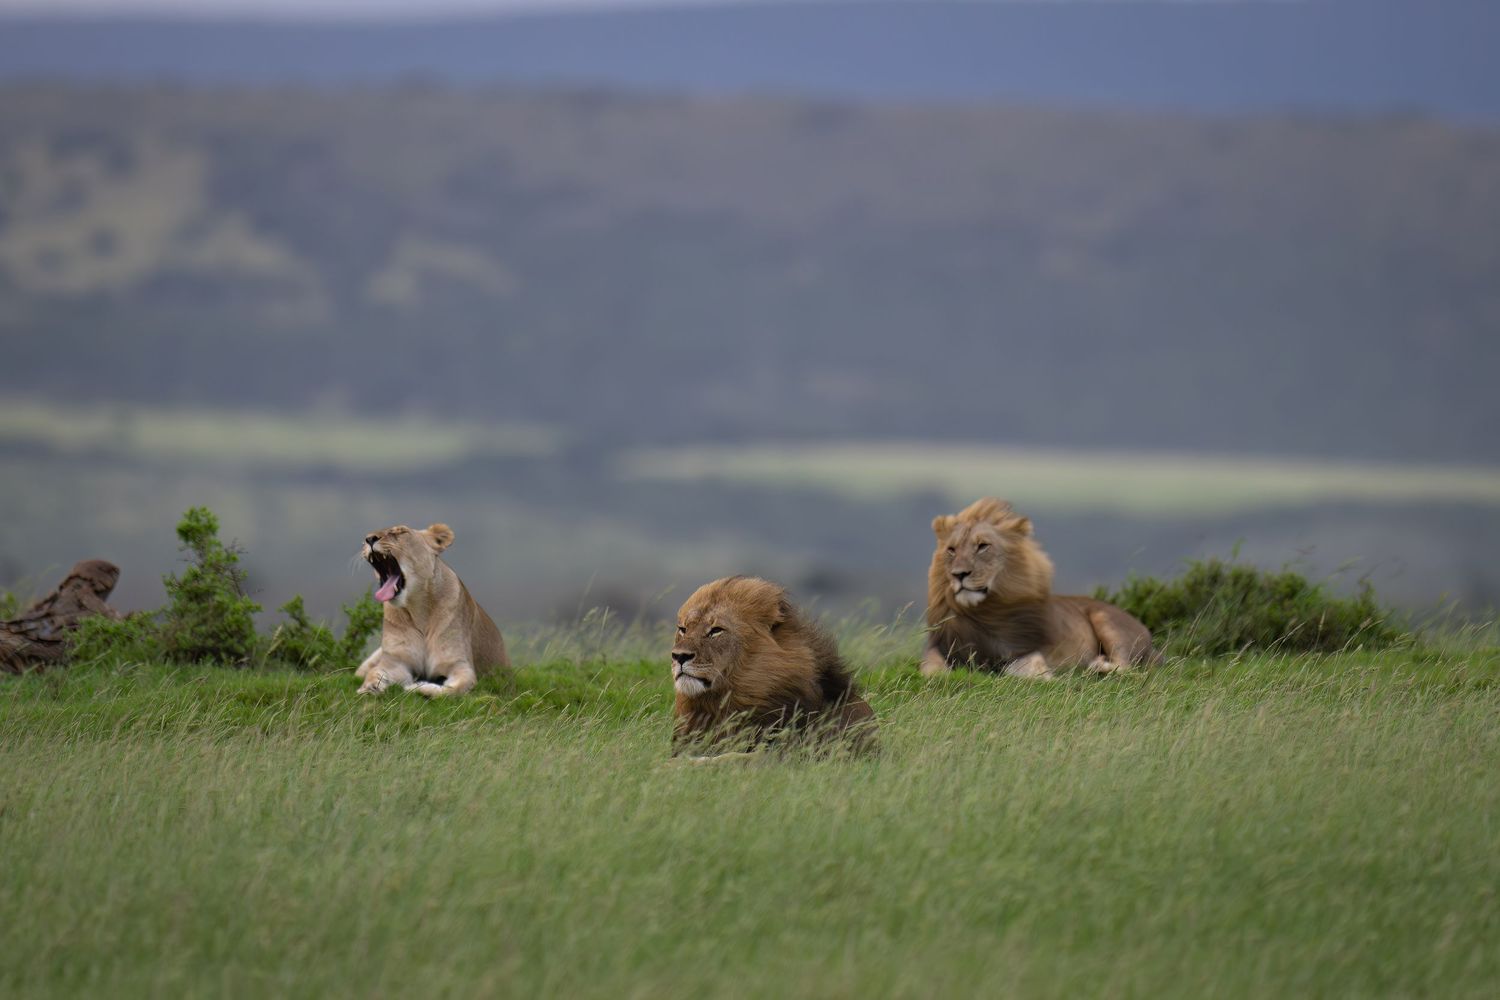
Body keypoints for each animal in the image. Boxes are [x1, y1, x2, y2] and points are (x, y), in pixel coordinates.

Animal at [354, 523, 509, 697]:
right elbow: (375, 672)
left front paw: (417, 687)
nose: (369, 539)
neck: (419, 611)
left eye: (401, 531)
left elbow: (451, 691)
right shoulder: (396, 661)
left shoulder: (460, 664)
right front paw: (369, 688)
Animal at [922, 498, 1160, 679]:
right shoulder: (940, 650)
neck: (982, 613)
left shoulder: (1027, 650)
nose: (959, 574)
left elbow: (1022, 668)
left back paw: (1098, 667)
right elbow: (930, 669)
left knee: (1128, 668)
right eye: (951, 550)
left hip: (1106, 621)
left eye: (983, 546)